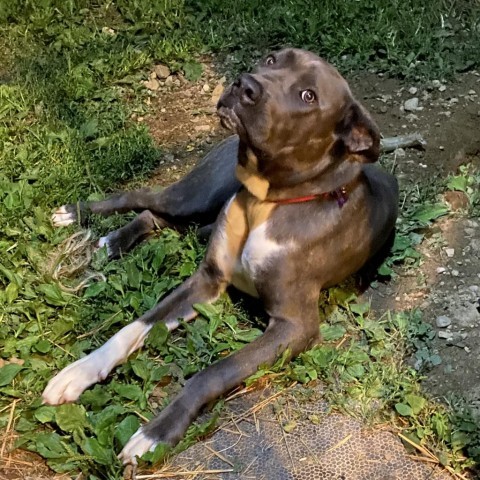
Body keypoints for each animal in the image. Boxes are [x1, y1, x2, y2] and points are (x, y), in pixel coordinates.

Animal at [43, 49, 400, 464]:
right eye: (272, 58)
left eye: (308, 95)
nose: (245, 85)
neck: (267, 201)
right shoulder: (208, 279)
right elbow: (133, 326)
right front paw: (82, 369)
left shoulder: (294, 325)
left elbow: (213, 371)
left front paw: (155, 432)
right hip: (198, 192)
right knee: (143, 197)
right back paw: (80, 216)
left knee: (157, 216)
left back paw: (113, 239)